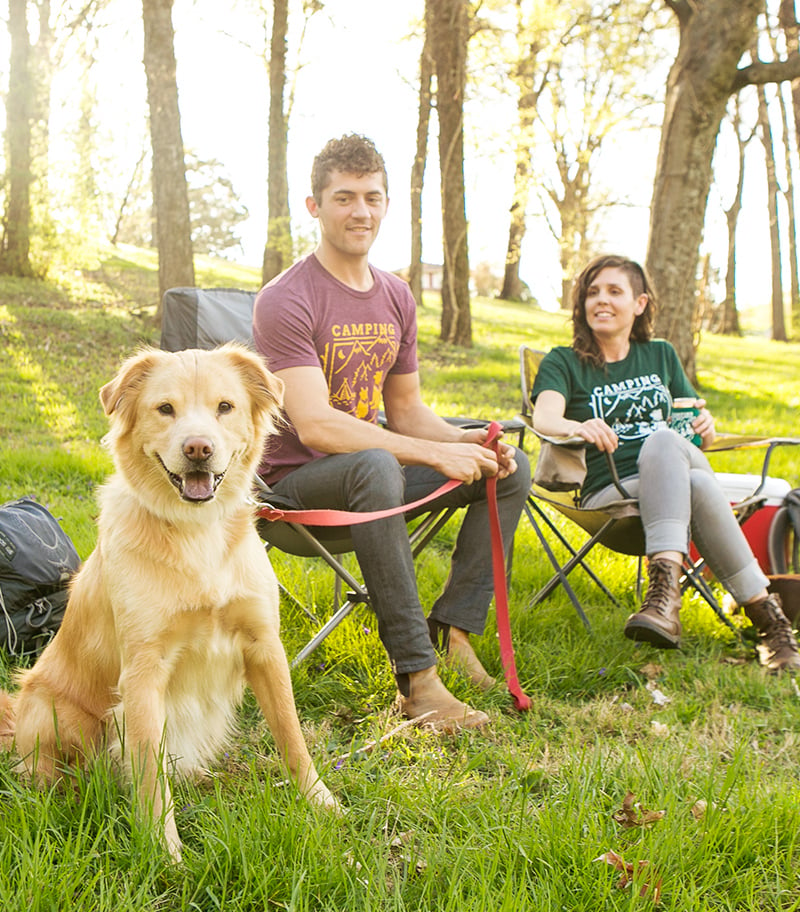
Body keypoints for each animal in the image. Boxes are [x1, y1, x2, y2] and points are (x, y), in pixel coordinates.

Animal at [0, 346, 336, 860]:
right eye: (165, 409)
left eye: (225, 407)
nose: (198, 448)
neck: (196, 532)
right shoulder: (144, 671)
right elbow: (148, 769)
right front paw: (165, 850)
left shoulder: (265, 647)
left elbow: (291, 734)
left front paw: (319, 800)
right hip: (55, 711)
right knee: (52, 775)